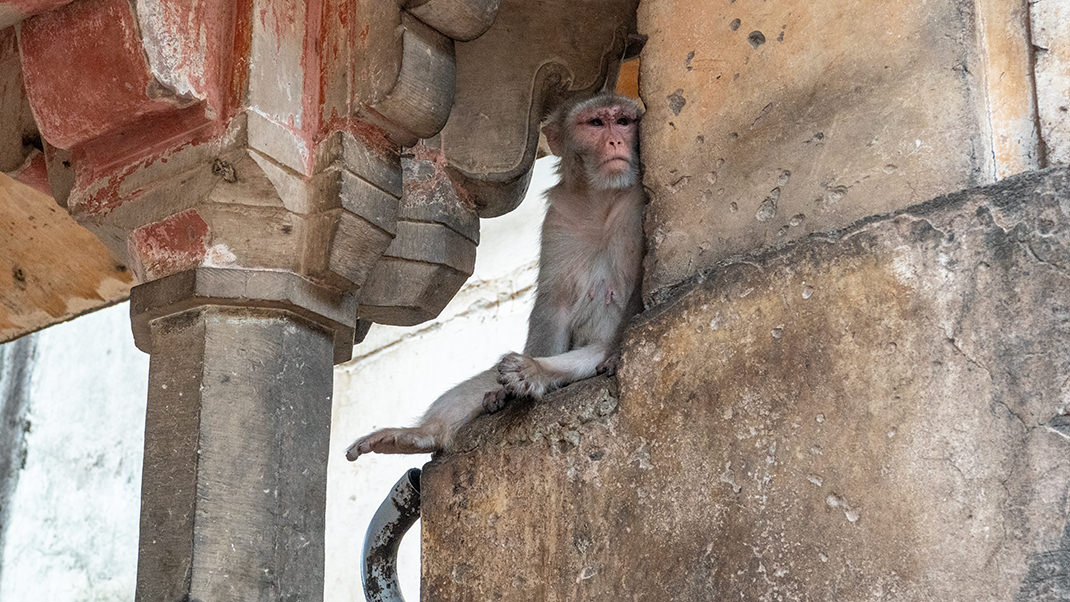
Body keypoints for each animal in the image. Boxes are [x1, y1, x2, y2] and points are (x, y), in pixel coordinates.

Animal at [346, 93, 642, 461]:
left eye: (624, 121)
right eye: (597, 123)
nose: (615, 140)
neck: (603, 200)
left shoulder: (637, 206)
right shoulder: (561, 217)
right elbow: (553, 305)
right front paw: (509, 393)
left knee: (592, 353)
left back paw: (534, 371)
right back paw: (423, 433)